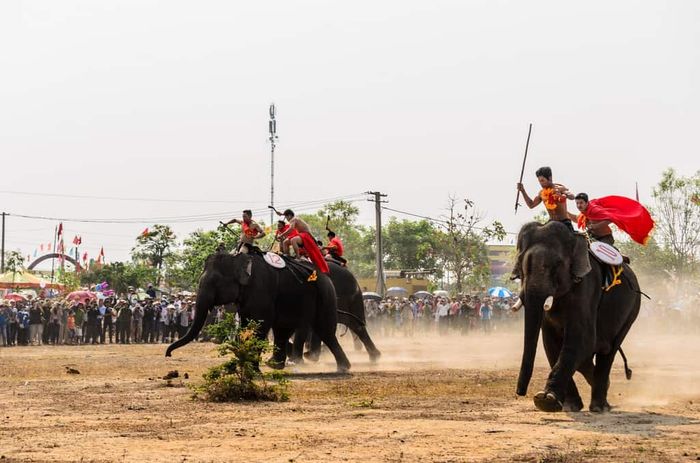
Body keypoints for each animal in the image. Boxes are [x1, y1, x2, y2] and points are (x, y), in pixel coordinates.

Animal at [163, 250, 350, 374]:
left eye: (215, 282)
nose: (168, 354)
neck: (238, 258)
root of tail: (325, 274)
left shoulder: (260, 288)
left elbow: (260, 324)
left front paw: (252, 371)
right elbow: (246, 323)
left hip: (325, 297)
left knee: (325, 330)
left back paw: (343, 368)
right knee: (283, 330)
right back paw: (275, 365)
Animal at [516, 221, 640, 414]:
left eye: (557, 264)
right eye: (521, 263)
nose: (520, 392)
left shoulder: (587, 286)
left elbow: (582, 339)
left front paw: (545, 400)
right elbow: (552, 343)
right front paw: (568, 406)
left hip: (632, 311)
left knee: (608, 351)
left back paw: (599, 406)